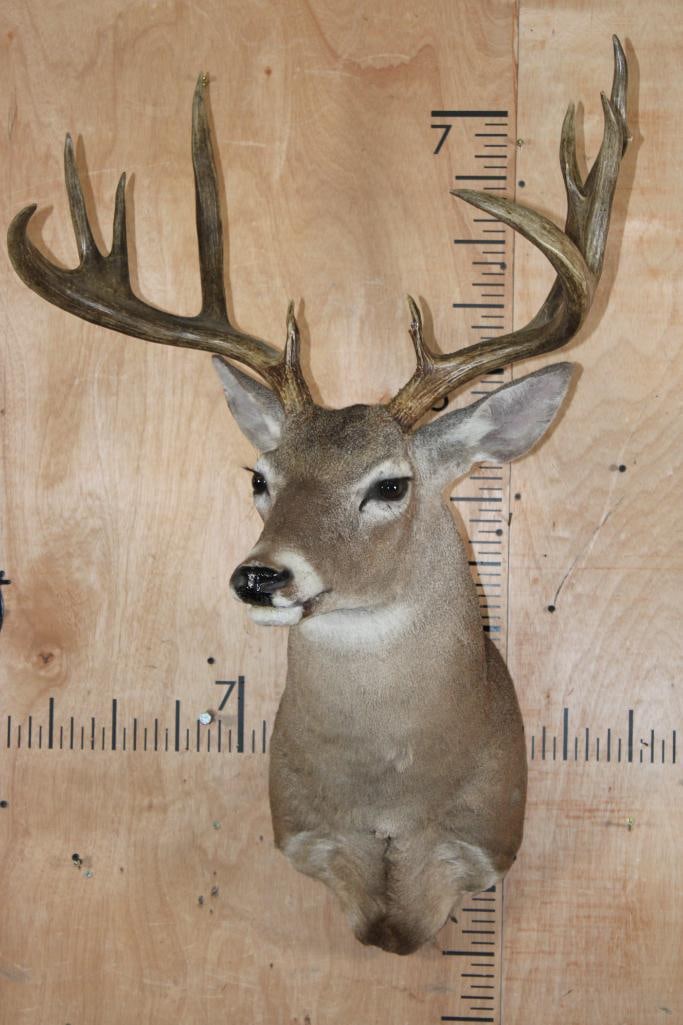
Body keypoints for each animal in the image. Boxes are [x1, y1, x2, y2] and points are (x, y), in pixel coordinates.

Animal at [8, 38, 628, 955]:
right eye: (259, 476)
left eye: (390, 483)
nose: (261, 576)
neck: (390, 803)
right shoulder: (307, 832)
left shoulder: (478, 842)